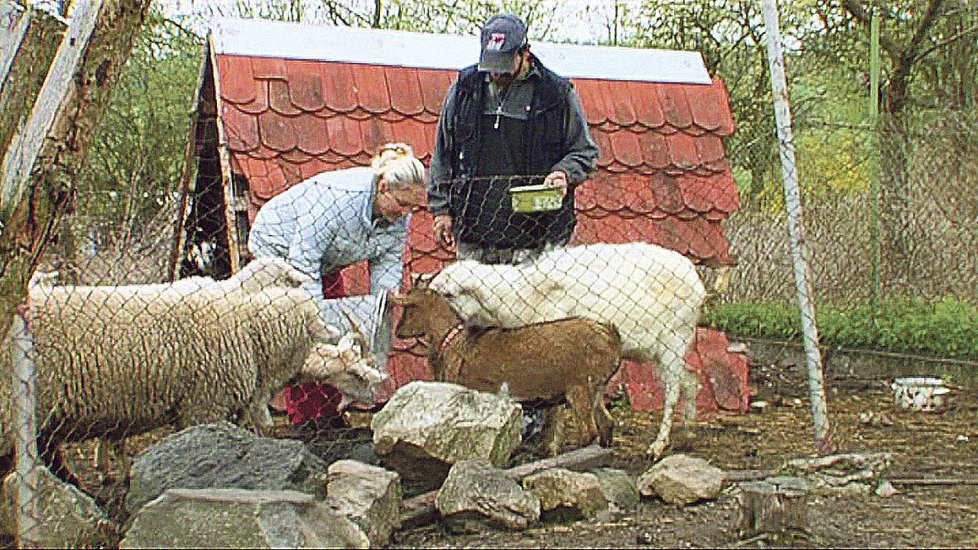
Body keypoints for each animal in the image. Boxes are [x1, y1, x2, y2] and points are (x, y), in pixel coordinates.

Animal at [430, 244, 704, 460]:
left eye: (449, 293)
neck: (521, 296)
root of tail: (695, 277)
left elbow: (555, 406)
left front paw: (550, 446)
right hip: (663, 348)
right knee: (690, 380)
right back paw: (689, 430)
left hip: (673, 339)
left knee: (673, 391)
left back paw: (657, 446)